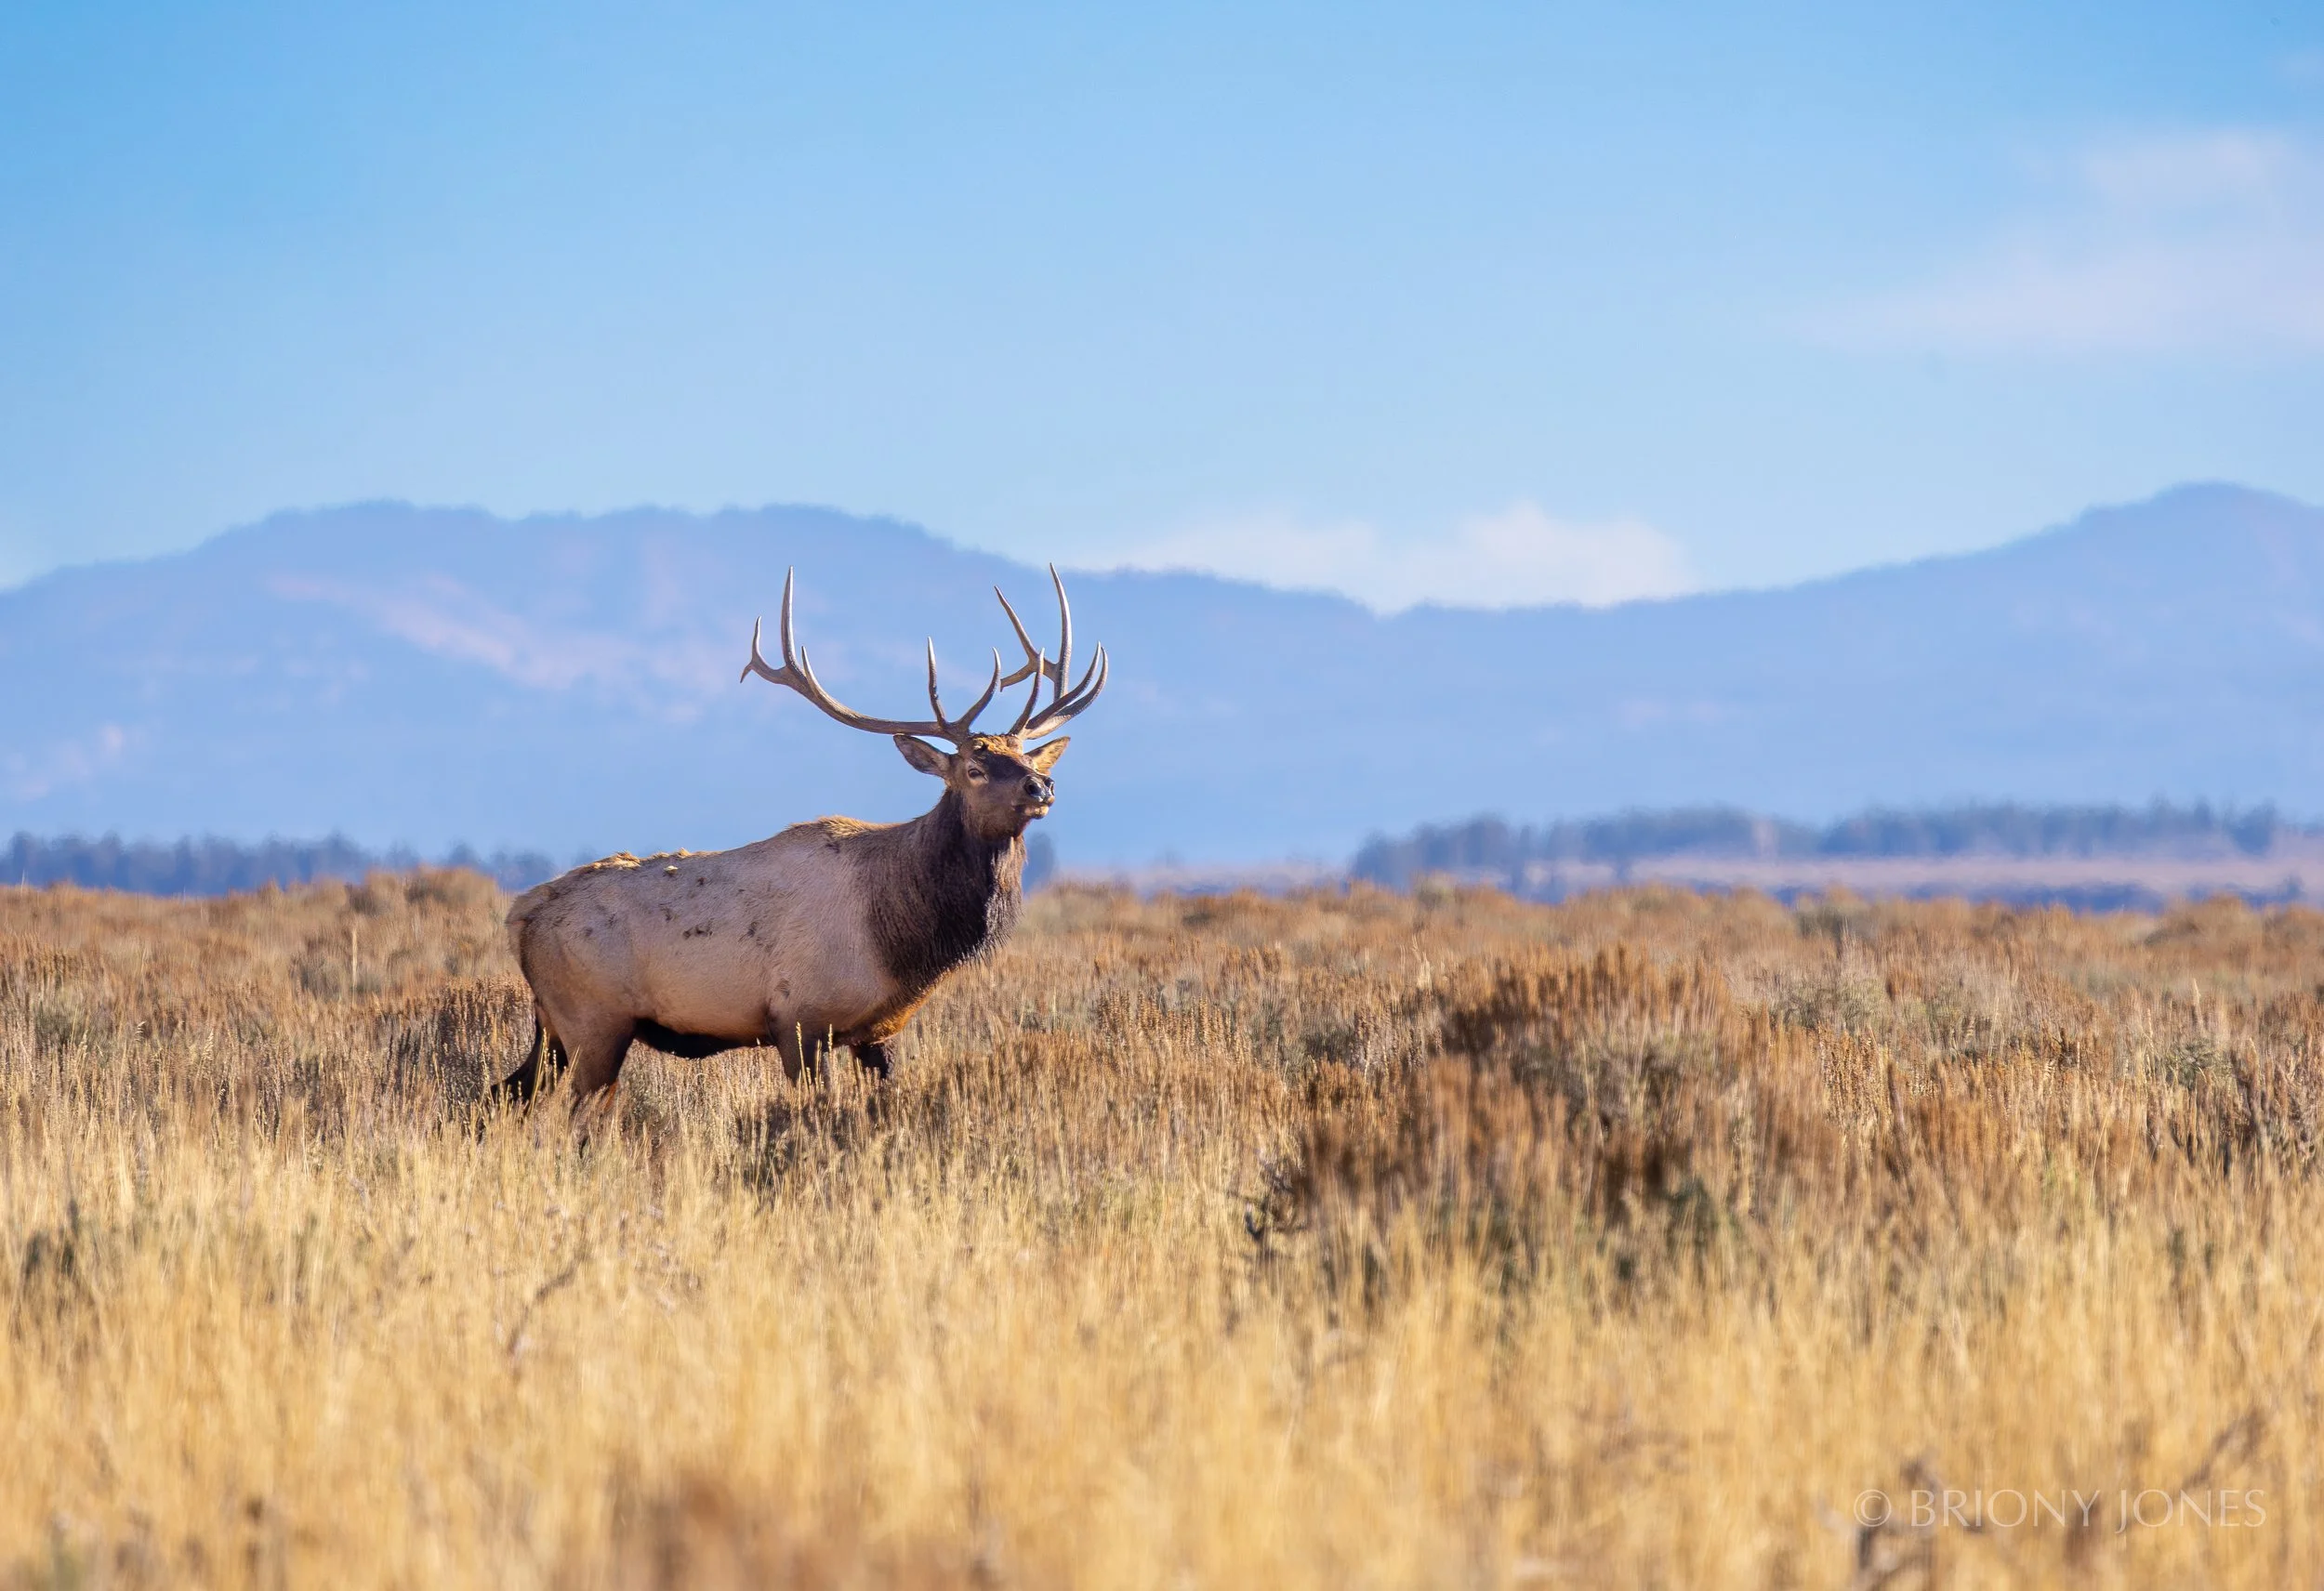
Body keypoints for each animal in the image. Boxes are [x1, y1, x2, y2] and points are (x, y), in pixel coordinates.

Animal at [497, 566, 1106, 1116]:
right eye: (975, 770)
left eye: (1027, 757)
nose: (1041, 786)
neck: (901, 936)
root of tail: (523, 913)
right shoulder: (798, 1019)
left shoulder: (878, 1031)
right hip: (593, 1020)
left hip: (553, 1029)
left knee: (509, 1095)